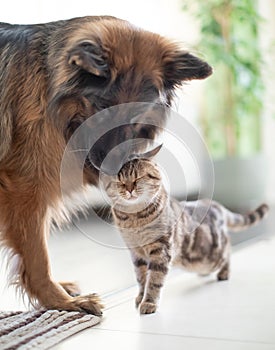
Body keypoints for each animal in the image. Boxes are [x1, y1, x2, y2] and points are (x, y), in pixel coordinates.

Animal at [0, 15, 213, 314]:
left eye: (137, 114)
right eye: (101, 108)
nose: (117, 171)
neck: (47, 83)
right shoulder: (24, 190)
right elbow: (37, 256)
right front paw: (63, 303)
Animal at [102, 145, 268, 314]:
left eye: (138, 177)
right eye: (120, 181)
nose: (129, 189)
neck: (134, 219)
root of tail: (216, 205)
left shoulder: (161, 249)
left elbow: (154, 279)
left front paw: (149, 302)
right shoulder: (136, 253)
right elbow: (141, 278)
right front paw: (141, 297)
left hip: (215, 254)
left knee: (228, 250)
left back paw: (224, 272)